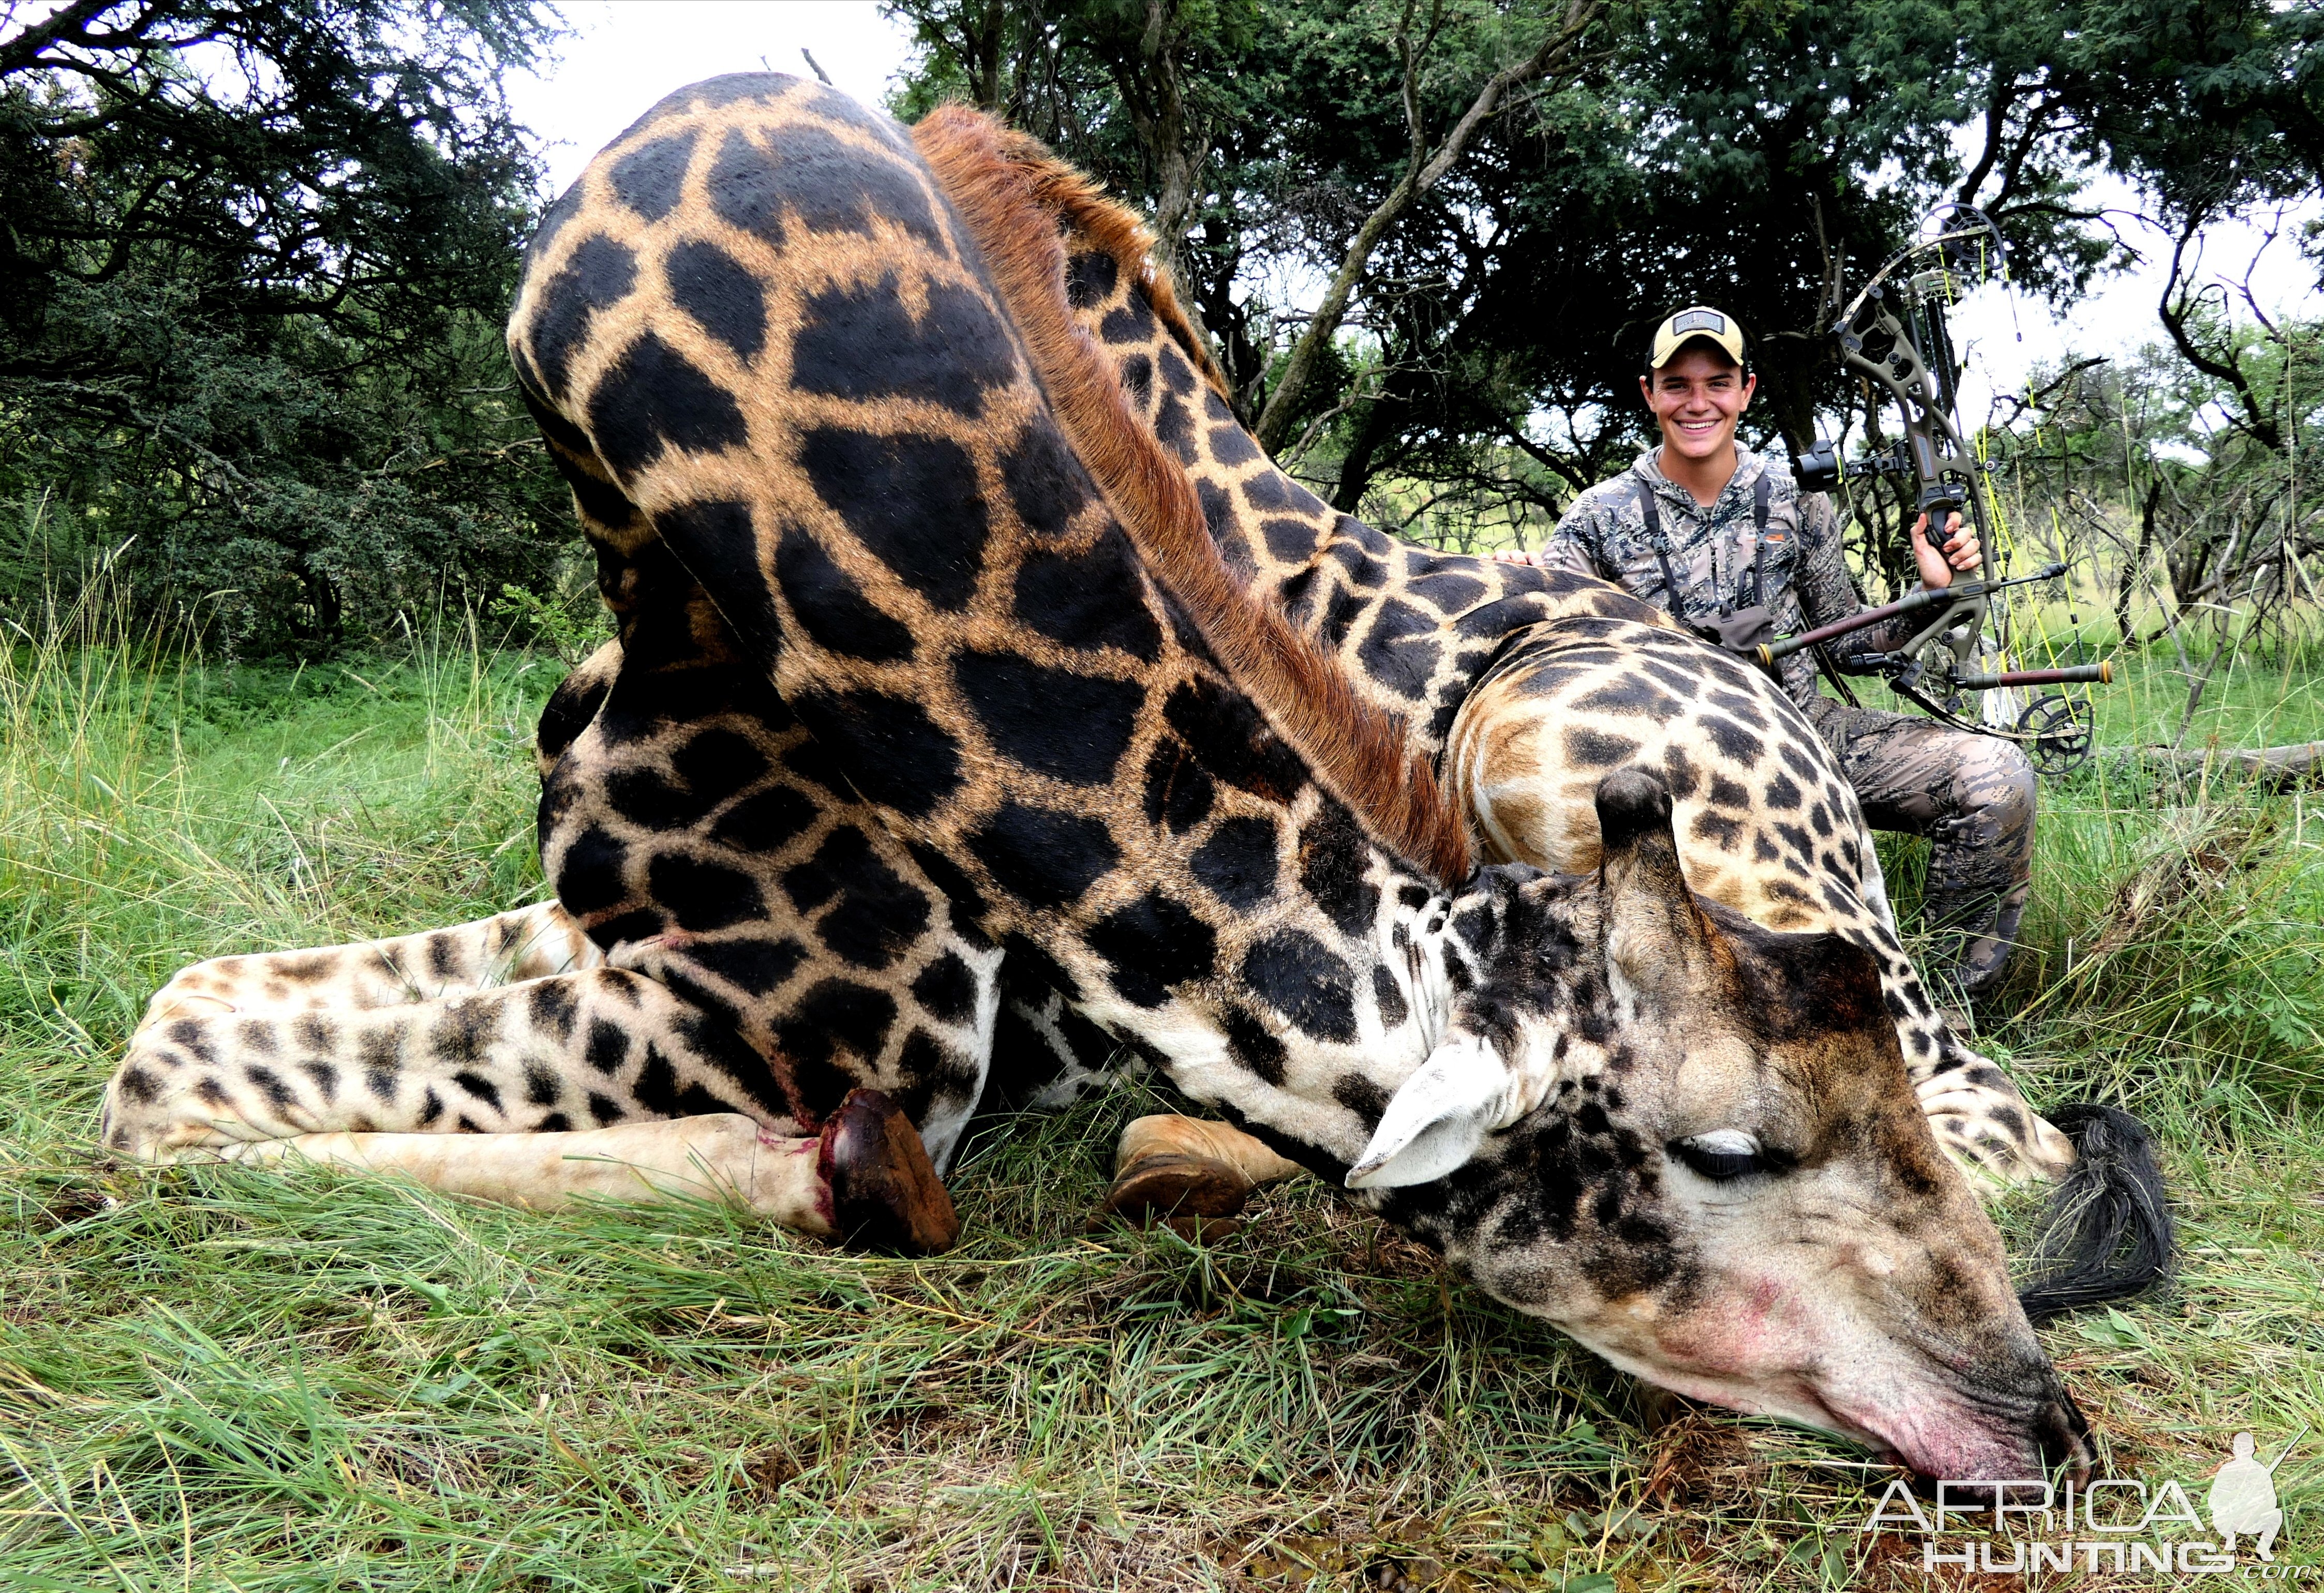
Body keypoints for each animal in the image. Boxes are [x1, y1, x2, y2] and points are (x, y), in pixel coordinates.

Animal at [100, 81, 2119, 1495]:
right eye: (1726, 1147)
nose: (2042, 1425)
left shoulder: (878, 1002)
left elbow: (165, 1068)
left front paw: (868, 1178)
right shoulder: (660, 940)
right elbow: (174, 1030)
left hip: (1565, 755)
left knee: (2013, 1121)